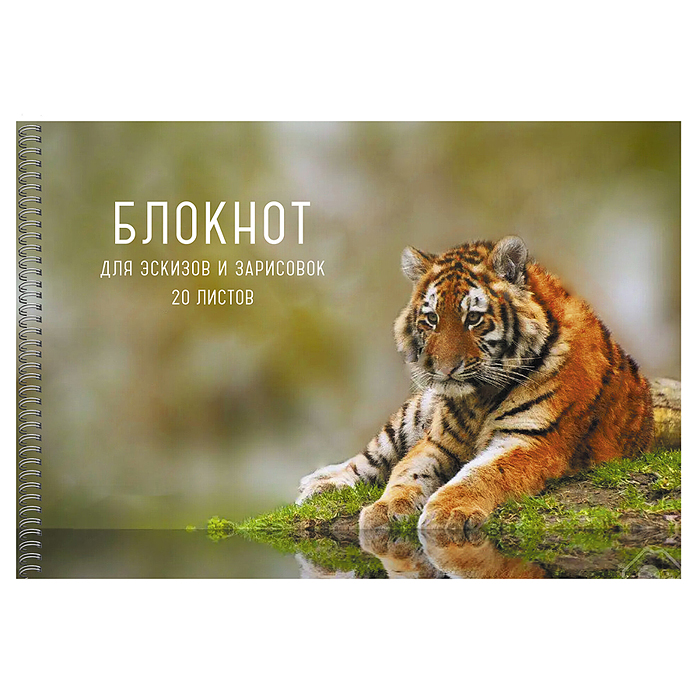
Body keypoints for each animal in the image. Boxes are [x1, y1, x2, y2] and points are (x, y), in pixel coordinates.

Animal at [296, 236, 654, 533]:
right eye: (431, 319)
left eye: (473, 318)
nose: (443, 370)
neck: (479, 398)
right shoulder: (437, 442)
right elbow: (406, 472)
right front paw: (386, 508)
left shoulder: (532, 441)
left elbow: (480, 475)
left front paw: (448, 512)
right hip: (412, 414)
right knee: (369, 458)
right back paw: (319, 483)